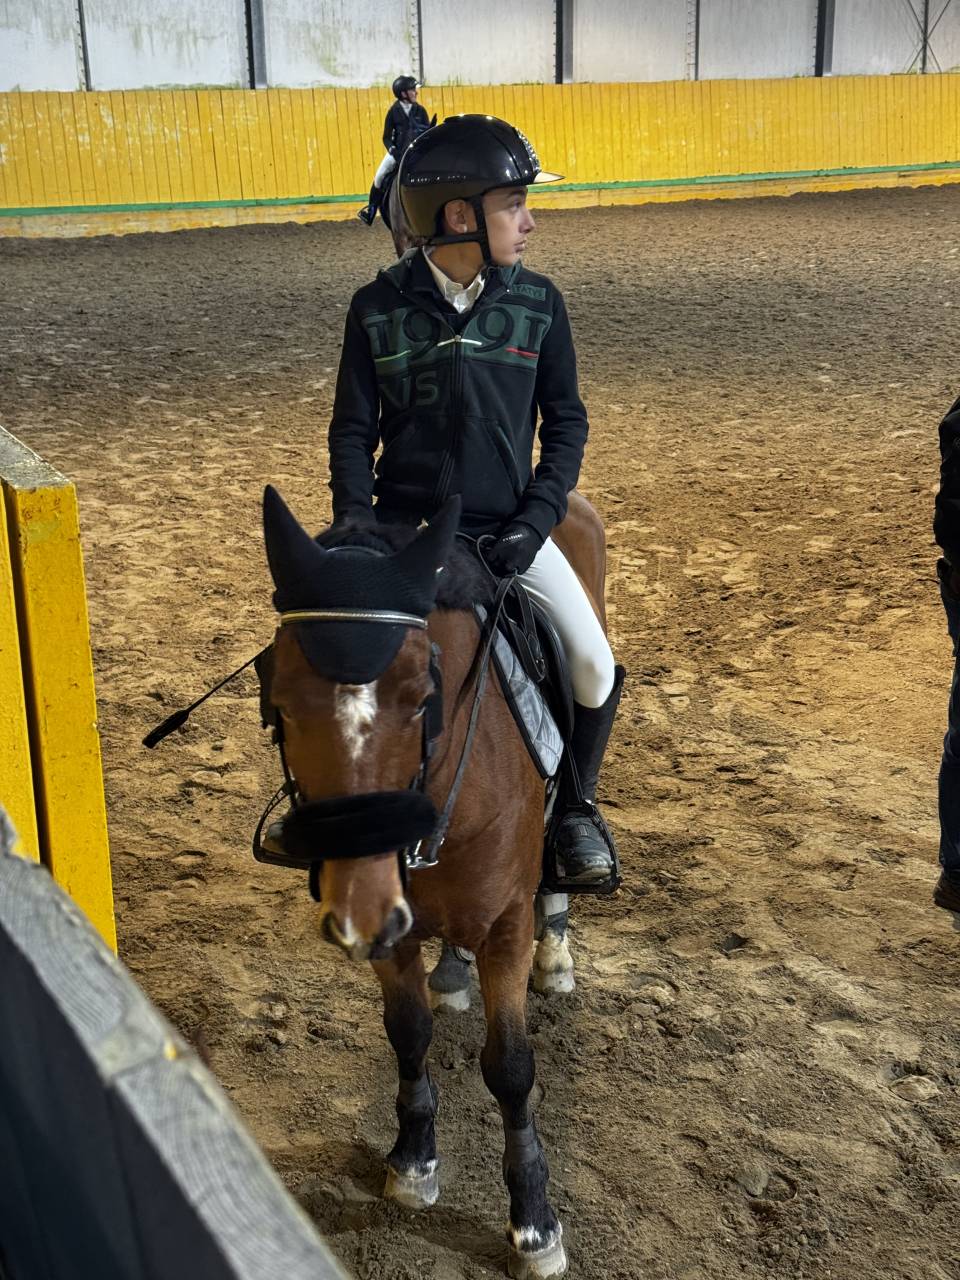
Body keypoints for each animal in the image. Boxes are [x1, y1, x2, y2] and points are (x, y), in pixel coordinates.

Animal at [261, 487, 609, 1280]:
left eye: (425, 697)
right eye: (279, 701)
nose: (358, 904)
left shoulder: (507, 922)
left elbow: (510, 1068)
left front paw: (534, 1223)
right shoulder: (394, 927)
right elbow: (408, 1030)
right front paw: (414, 1160)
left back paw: (558, 949)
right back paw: (452, 973)